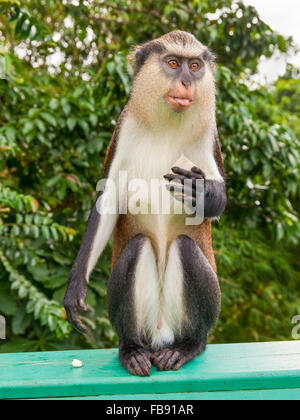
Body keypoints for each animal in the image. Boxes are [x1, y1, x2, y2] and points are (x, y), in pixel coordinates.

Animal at [63, 30, 227, 378]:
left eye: (195, 65)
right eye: (174, 63)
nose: (187, 82)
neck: (168, 124)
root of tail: (161, 335)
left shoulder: (210, 135)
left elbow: (219, 200)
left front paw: (201, 191)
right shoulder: (123, 129)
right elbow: (108, 201)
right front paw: (75, 288)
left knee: (186, 248)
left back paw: (189, 345)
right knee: (137, 246)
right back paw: (132, 349)